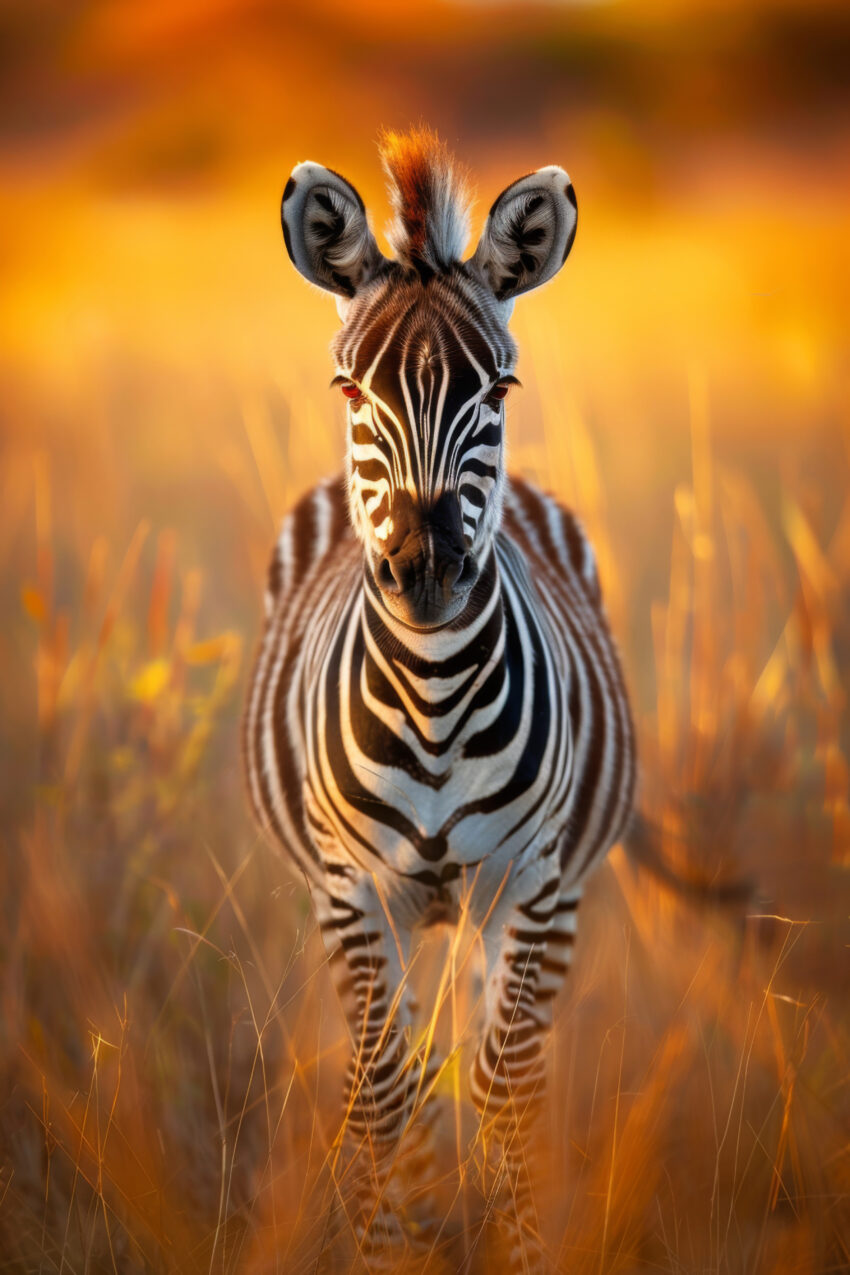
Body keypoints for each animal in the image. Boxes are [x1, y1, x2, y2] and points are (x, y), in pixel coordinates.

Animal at [244, 128, 636, 1269]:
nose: (425, 567)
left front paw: (515, 1244)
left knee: (496, 1059)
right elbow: (384, 1093)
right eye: (348, 391)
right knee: (406, 1066)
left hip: (526, 902)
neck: (429, 695)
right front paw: (391, 1243)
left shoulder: (533, 883)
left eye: (498, 391)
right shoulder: (352, 890)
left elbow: (504, 1092)